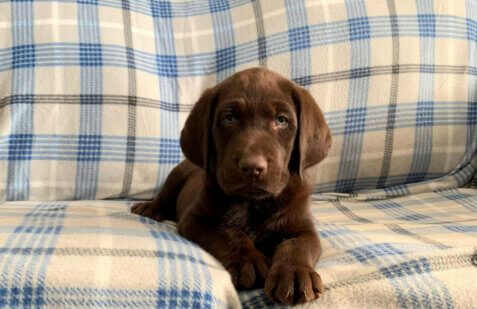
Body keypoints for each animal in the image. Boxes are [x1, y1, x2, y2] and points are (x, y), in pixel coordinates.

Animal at [130, 67, 330, 304]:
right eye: (229, 118)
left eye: (281, 120)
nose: (252, 167)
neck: (253, 204)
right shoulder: (196, 218)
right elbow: (227, 233)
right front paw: (247, 260)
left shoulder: (303, 227)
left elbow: (297, 245)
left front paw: (295, 273)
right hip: (178, 173)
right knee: (165, 196)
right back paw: (150, 208)